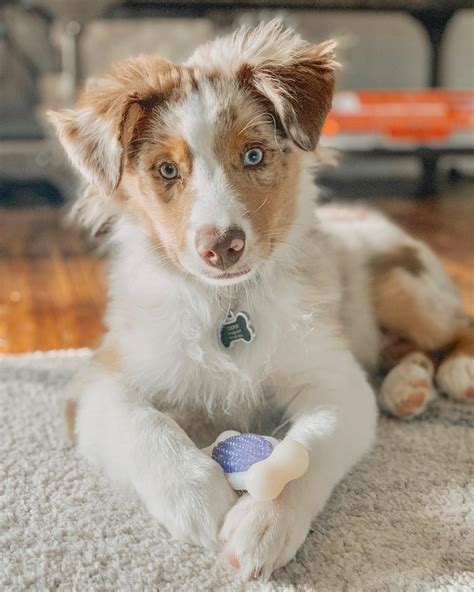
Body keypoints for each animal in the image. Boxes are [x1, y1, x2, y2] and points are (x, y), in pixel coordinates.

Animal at [49, 20, 474, 580]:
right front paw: (199, 500)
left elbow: (309, 447)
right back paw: (409, 386)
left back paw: (454, 372)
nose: (221, 247)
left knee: (457, 327)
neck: (226, 302)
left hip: (406, 287)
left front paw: (262, 525)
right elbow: (146, 426)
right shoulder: (100, 380)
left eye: (253, 155)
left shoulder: (335, 380)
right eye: (166, 171)